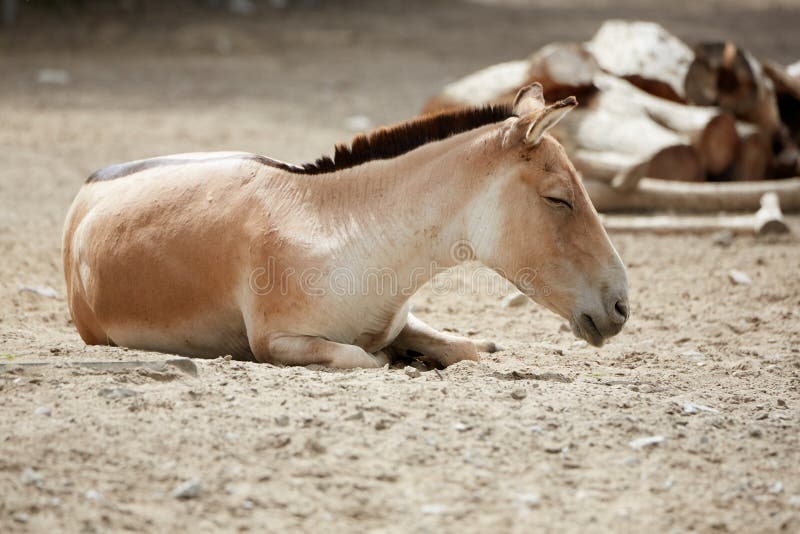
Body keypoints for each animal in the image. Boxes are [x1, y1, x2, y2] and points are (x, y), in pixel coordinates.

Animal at [62, 85, 628, 368]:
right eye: (558, 198)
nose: (621, 306)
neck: (345, 233)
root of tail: (91, 184)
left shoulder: (401, 320)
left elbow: (465, 351)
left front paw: (453, 350)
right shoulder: (279, 342)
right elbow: (368, 359)